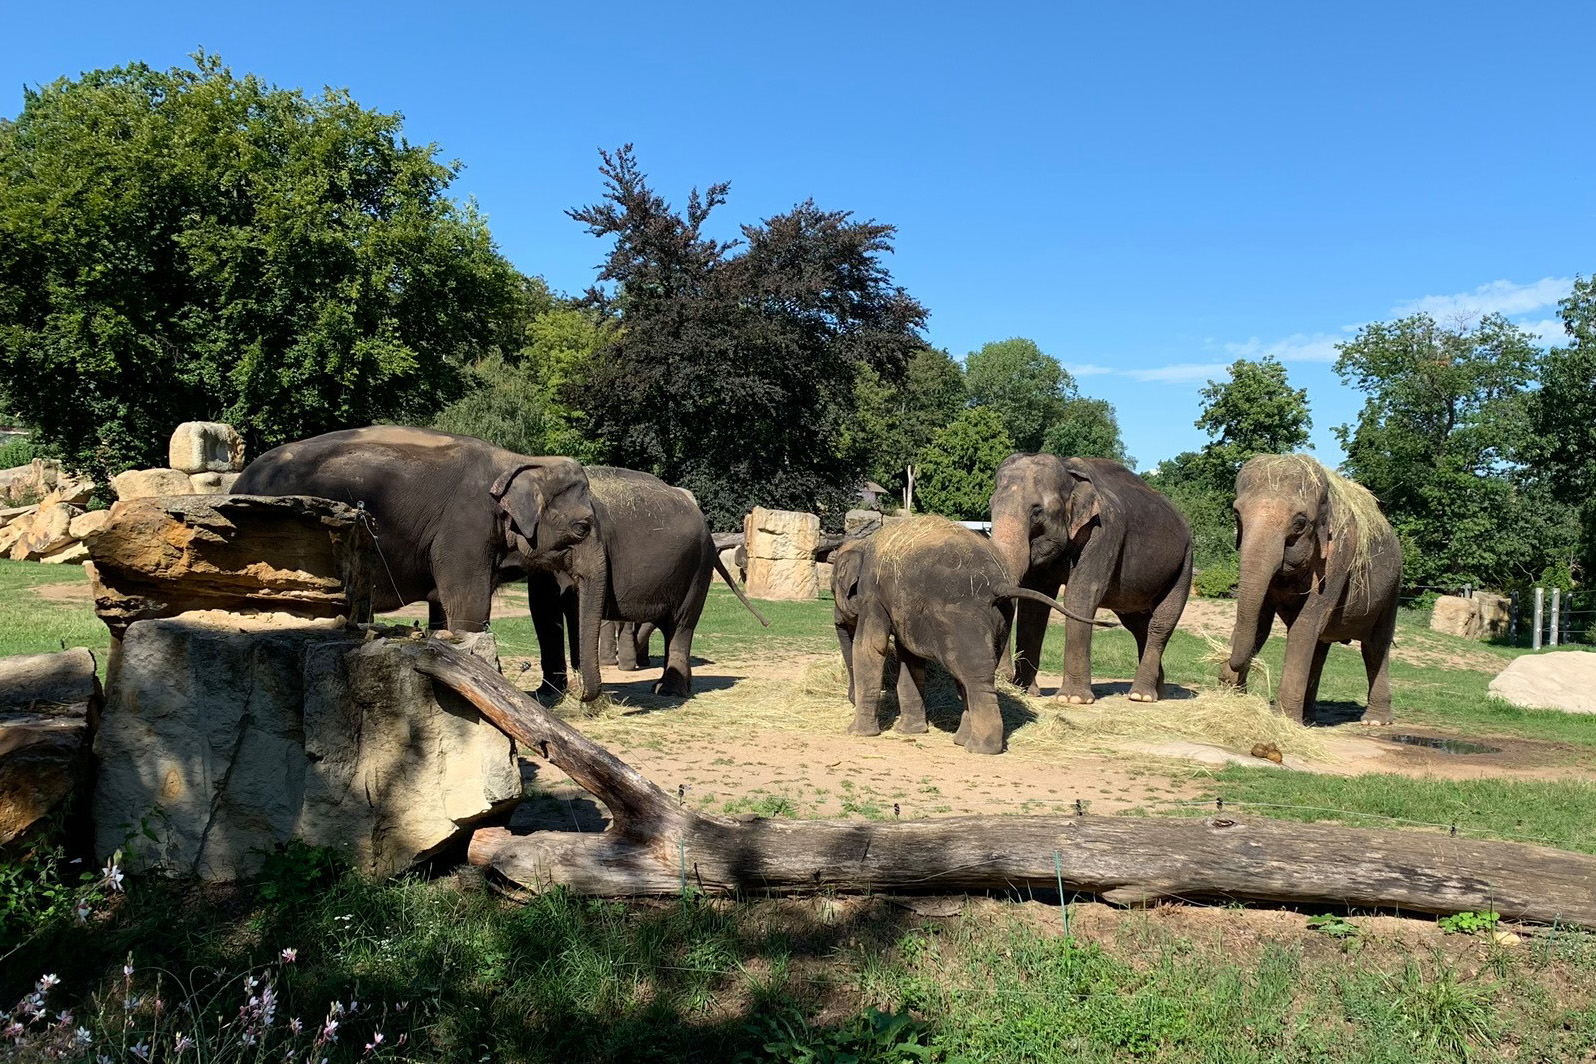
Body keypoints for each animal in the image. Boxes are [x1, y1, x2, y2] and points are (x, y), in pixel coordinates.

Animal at [233, 424, 606, 698]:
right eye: (582, 527)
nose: (582, 697)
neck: (517, 460)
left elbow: (445, 604)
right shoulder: (464, 528)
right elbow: (468, 606)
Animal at [529, 465, 766, 698]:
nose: (581, 694)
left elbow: (575, 610)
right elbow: (543, 611)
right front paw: (548, 692)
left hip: (697, 568)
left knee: (681, 624)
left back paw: (669, 691)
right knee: (669, 627)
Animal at [829, 516, 1104, 756]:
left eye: (832, 589)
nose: (850, 699)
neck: (864, 543)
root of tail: (998, 583)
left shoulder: (872, 595)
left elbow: (870, 648)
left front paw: (857, 733)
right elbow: (910, 657)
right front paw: (910, 731)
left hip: (960, 618)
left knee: (972, 673)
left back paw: (980, 748)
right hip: (999, 620)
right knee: (972, 674)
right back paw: (963, 740)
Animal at [989, 453, 1193, 701]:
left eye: (1036, 511)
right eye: (991, 505)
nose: (1005, 678)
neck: (1068, 470)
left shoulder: (1104, 531)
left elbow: (1081, 594)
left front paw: (1072, 699)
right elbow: (1034, 602)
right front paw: (1026, 691)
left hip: (1185, 563)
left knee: (1161, 622)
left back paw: (1140, 695)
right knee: (1138, 626)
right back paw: (1158, 692)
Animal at [1219, 453, 1398, 727]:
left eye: (1300, 523)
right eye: (1237, 514)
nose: (1228, 666)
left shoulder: (1339, 556)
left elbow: (1306, 623)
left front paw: (1283, 721)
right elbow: (1261, 622)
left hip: (1392, 590)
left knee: (1375, 647)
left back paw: (1375, 721)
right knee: (1321, 646)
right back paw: (1309, 719)